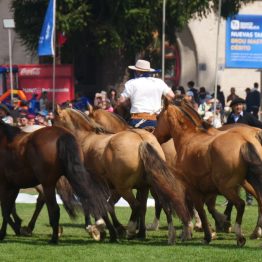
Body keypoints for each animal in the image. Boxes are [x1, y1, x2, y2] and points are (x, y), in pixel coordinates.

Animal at [53, 106, 192, 244]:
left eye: (53, 121)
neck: (85, 138)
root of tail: (141, 140)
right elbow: (111, 206)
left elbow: (102, 205)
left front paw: (104, 229)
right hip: (153, 184)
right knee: (164, 204)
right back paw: (169, 233)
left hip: (125, 188)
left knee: (136, 205)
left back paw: (132, 229)